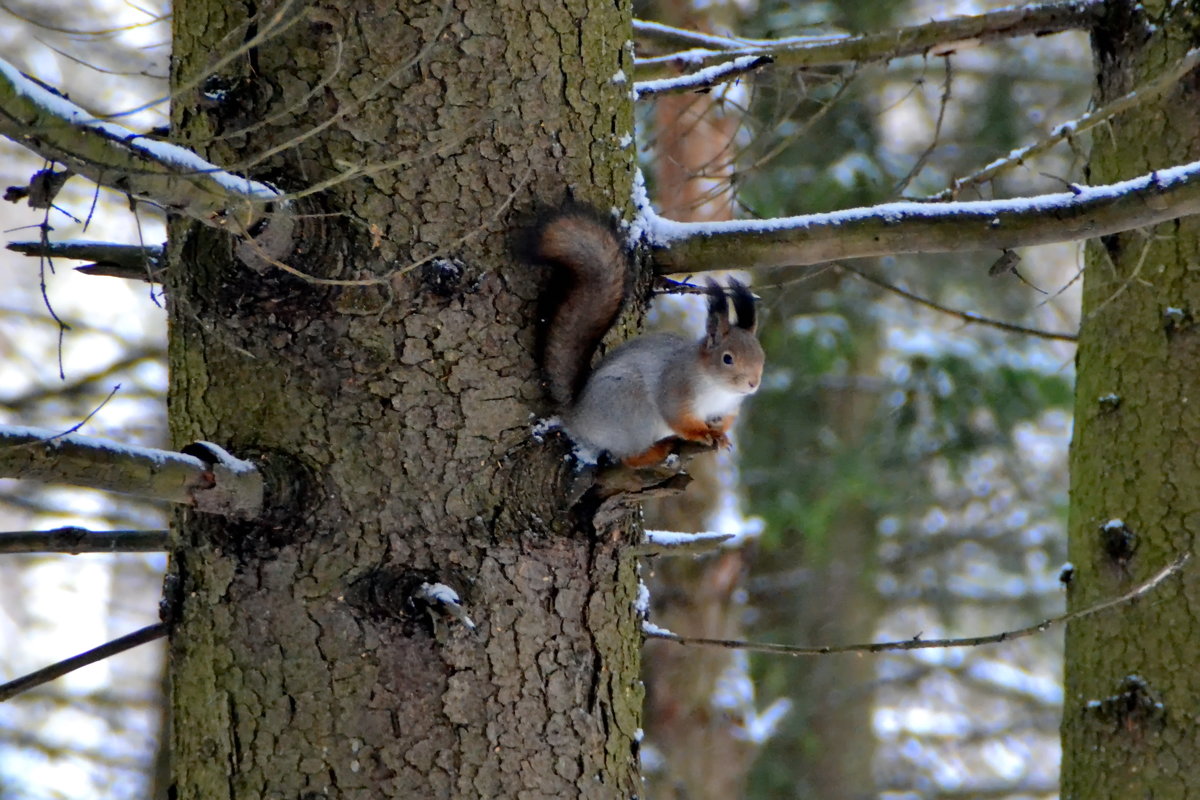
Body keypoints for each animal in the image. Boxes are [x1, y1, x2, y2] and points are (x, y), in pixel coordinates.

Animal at [530, 206, 763, 470]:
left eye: (761, 355)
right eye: (727, 358)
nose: (753, 384)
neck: (718, 388)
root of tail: (578, 418)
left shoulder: (728, 409)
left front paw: (720, 436)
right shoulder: (675, 390)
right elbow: (679, 419)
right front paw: (702, 434)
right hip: (633, 411)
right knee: (629, 457)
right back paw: (657, 451)